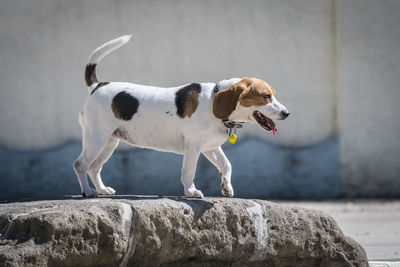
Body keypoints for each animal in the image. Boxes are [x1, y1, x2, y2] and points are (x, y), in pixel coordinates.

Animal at [73, 35, 290, 199]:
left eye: (273, 94)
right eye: (266, 96)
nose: (287, 113)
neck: (213, 100)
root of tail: (97, 85)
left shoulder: (210, 147)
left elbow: (226, 164)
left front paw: (226, 187)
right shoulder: (193, 147)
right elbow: (189, 172)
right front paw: (191, 192)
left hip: (109, 142)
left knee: (94, 168)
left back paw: (102, 189)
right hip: (96, 139)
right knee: (81, 165)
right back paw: (88, 192)